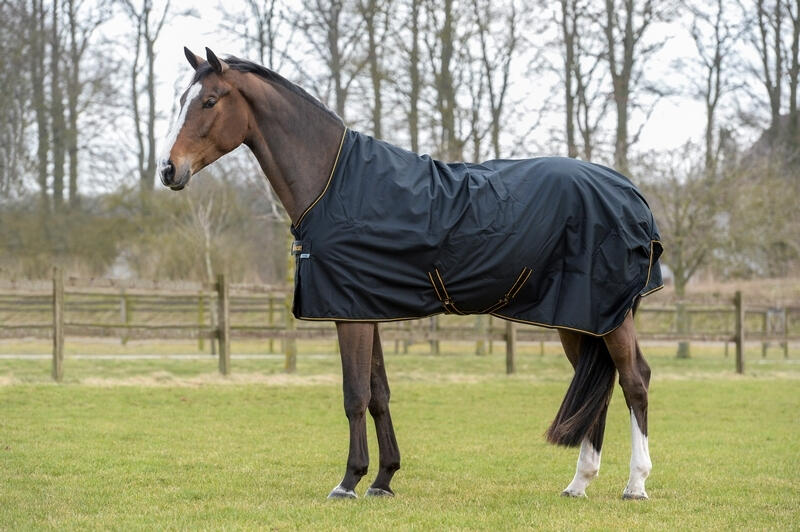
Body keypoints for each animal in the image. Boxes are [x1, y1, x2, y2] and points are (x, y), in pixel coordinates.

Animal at [159, 47, 661, 500]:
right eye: (181, 99)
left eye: (209, 101)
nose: (168, 170)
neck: (333, 184)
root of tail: (631, 194)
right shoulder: (365, 309)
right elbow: (379, 393)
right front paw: (383, 479)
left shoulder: (349, 313)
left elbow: (354, 394)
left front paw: (348, 482)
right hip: (578, 318)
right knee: (601, 384)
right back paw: (578, 484)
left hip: (608, 316)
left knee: (634, 380)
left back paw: (635, 485)